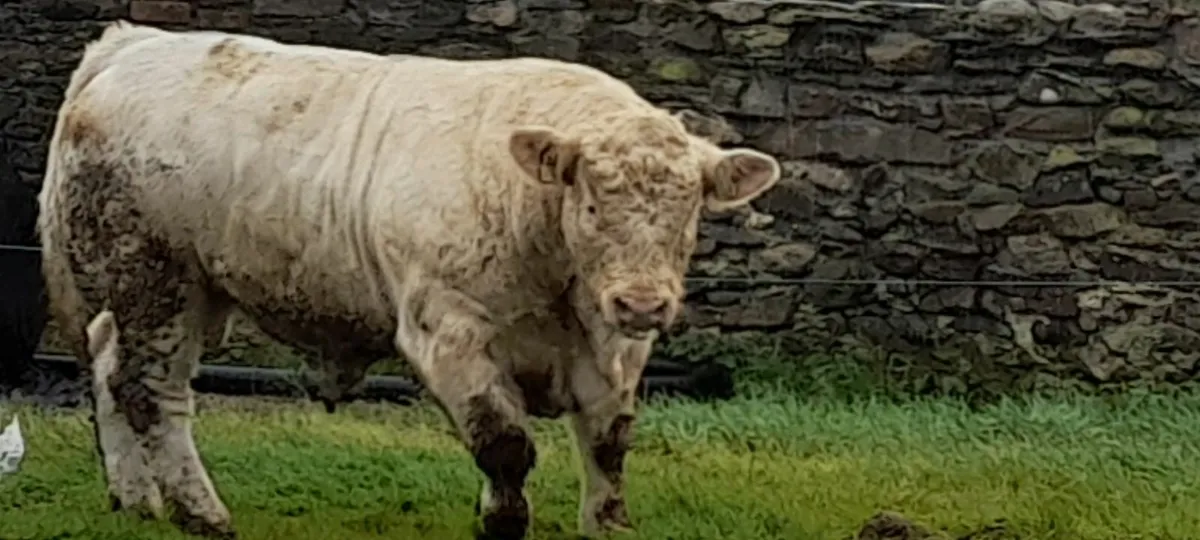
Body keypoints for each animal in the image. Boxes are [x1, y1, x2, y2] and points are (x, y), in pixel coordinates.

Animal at [38, 21, 782, 539]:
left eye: (690, 208)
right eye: (592, 203)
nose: (643, 301)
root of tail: (135, 43)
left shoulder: (615, 347)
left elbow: (609, 446)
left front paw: (606, 524)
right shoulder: (447, 330)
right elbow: (504, 445)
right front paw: (501, 521)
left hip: (182, 290)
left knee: (109, 365)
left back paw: (136, 501)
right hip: (153, 275)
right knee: (152, 391)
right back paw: (202, 514)